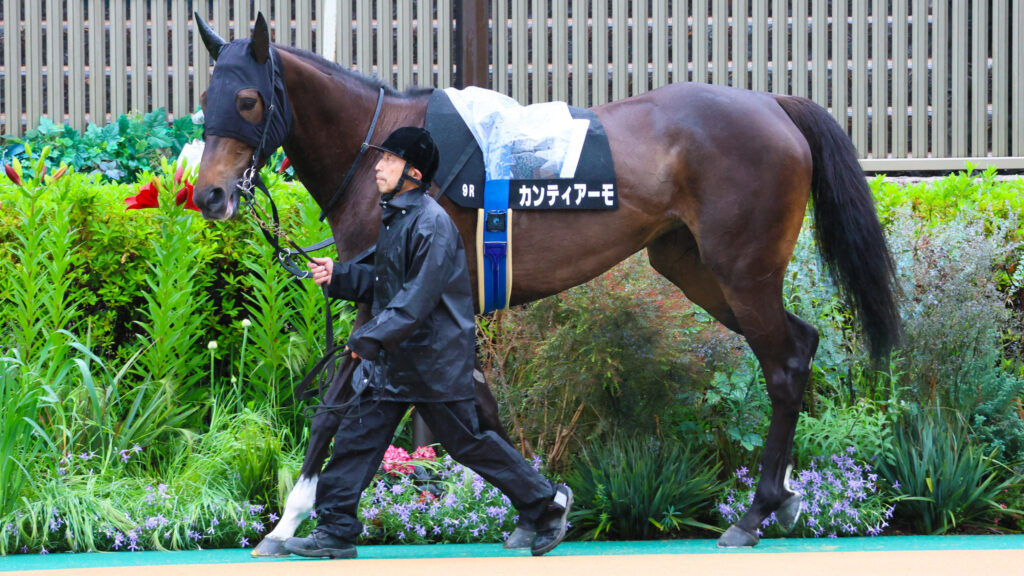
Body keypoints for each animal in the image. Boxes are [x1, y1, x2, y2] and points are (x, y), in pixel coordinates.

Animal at [191, 13, 900, 554]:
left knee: (783, 365)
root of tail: (775, 104)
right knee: (800, 343)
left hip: (742, 270)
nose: (211, 195)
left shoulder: (389, 301)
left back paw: (754, 514)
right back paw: (783, 500)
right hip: (694, 267)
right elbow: (475, 410)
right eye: (206, 102)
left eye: (248, 100)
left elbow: (335, 403)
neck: (385, 160)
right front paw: (545, 507)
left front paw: (287, 521)